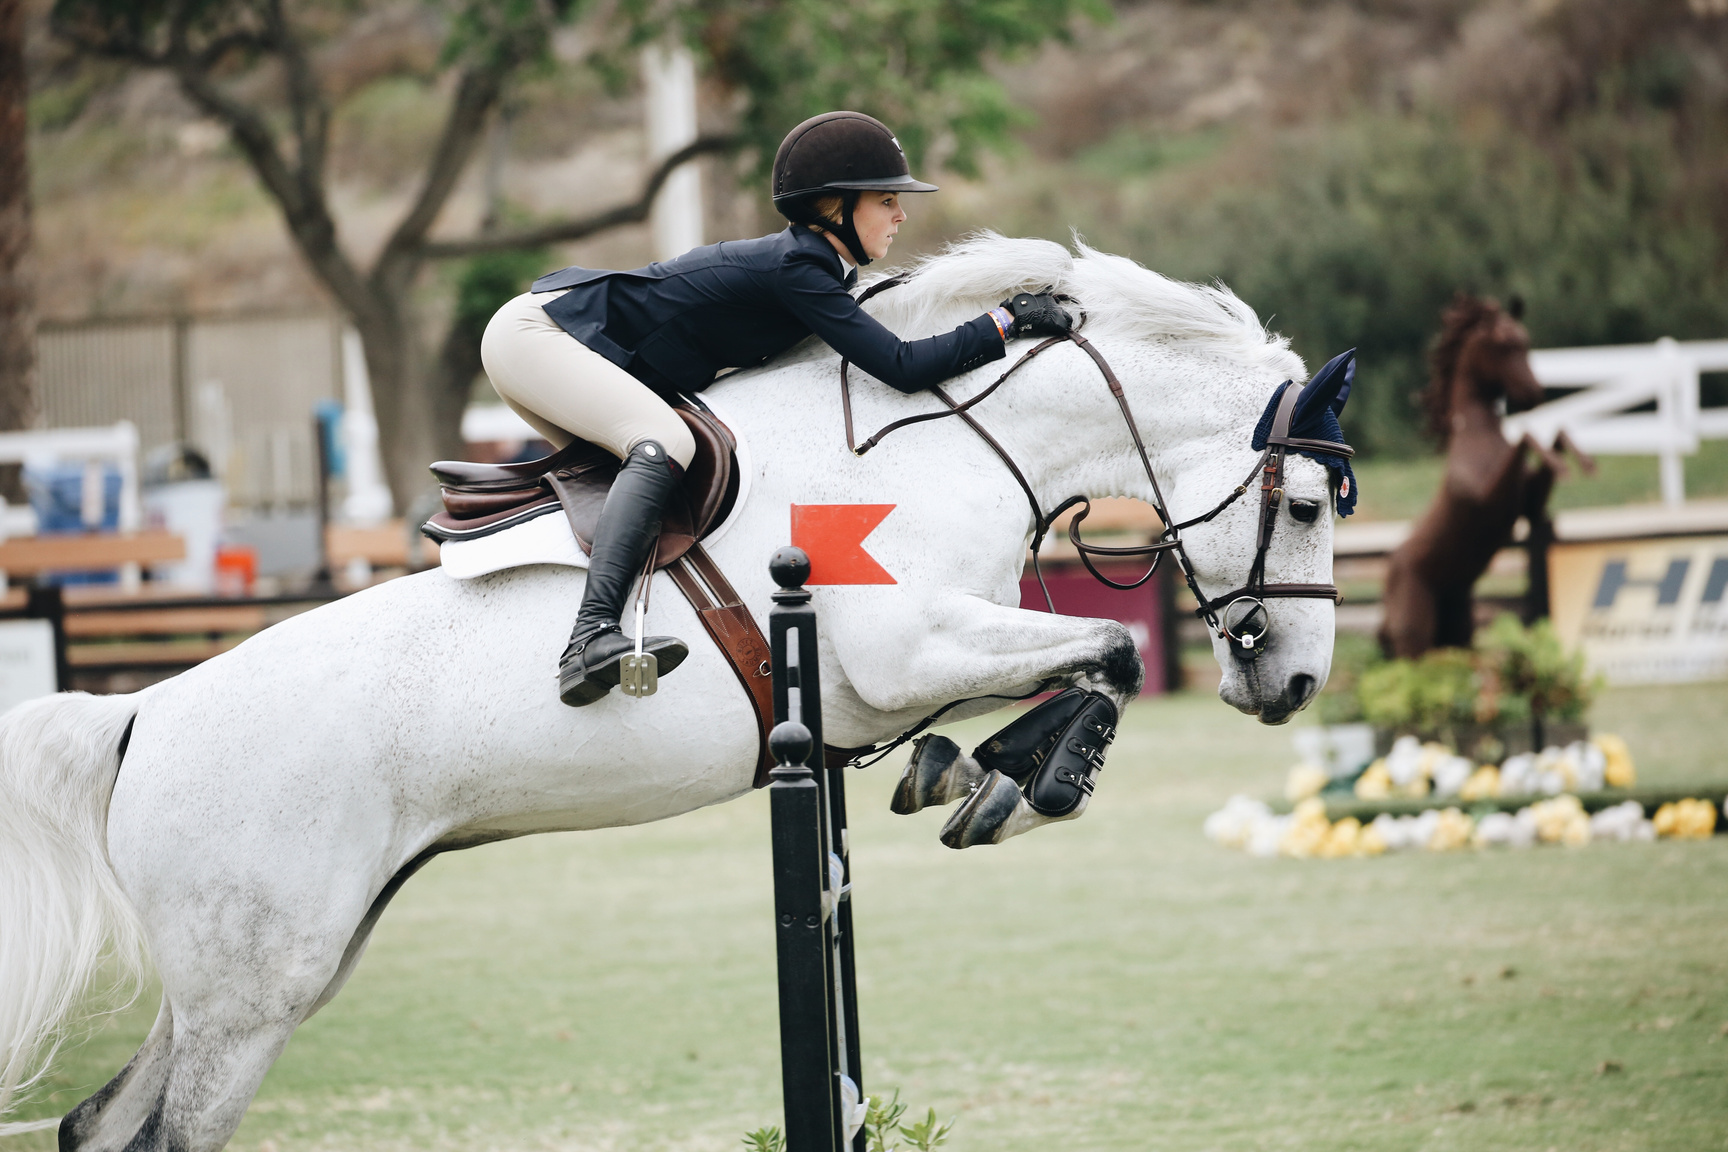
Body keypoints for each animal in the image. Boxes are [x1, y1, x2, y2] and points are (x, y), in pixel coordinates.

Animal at [0, 236, 1334, 1152]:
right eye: (1316, 504)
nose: (1296, 684)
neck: (942, 438)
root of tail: (140, 717)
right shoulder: (900, 651)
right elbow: (1110, 652)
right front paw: (1022, 780)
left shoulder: (903, 673)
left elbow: (1074, 663)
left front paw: (965, 774)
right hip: (252, 991)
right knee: (161, 1134)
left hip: (266, 971)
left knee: (101, 1126)